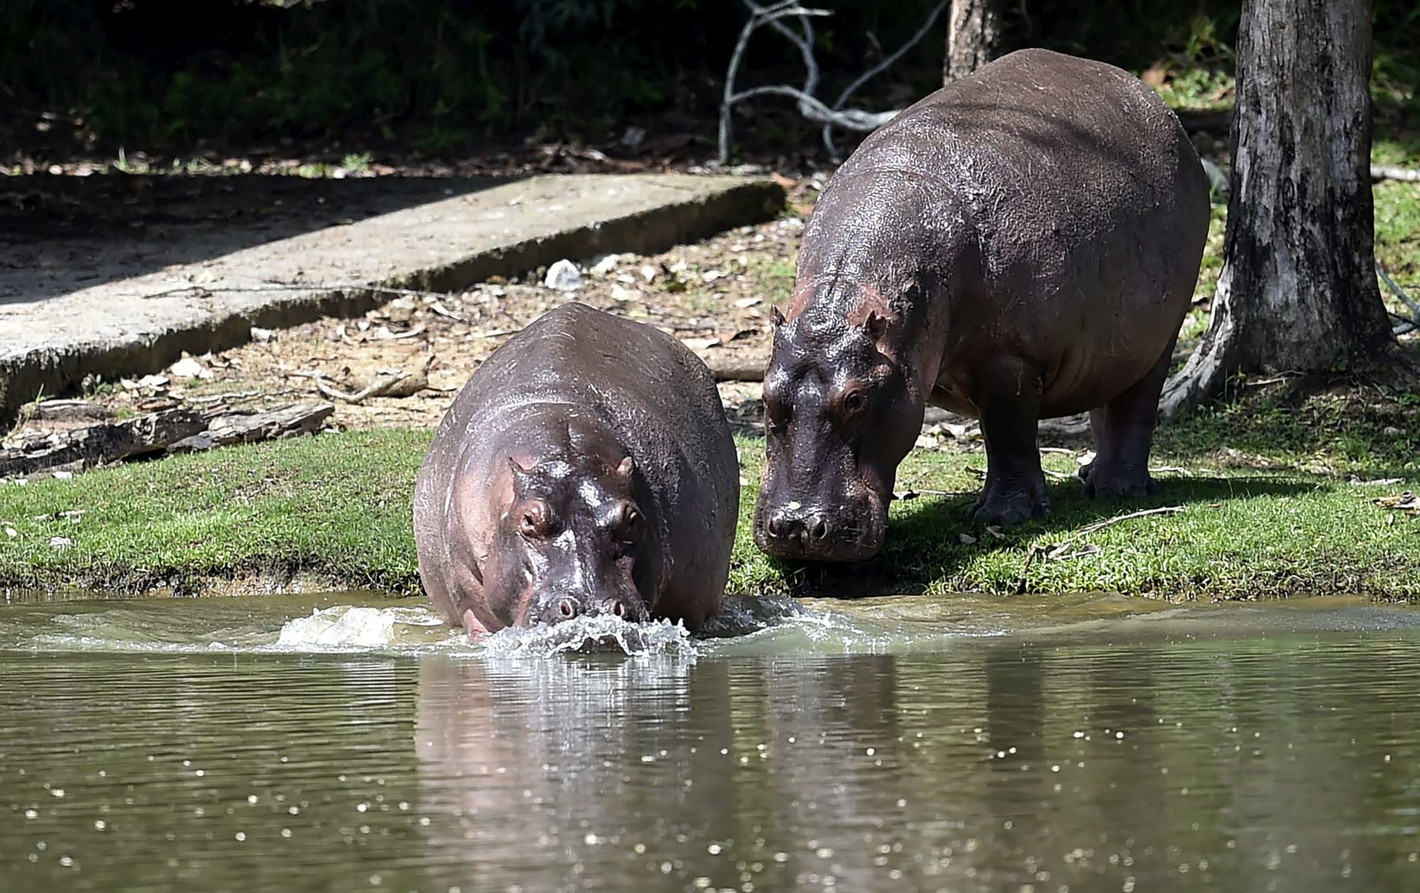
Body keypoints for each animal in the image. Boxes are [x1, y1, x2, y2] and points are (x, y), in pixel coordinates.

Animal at [755, 48, 1210, 562]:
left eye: (855, 398)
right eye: (765, 396)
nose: (795, 527)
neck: (852, 294)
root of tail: (1155, 102)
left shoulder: (1009, 356)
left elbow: (1008, 431)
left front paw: (1004, 517)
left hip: (1163, 331)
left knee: (1137, 404)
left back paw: (1119, 491)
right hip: (1114, 341)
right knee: (1106, 397)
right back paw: (1090, 478)